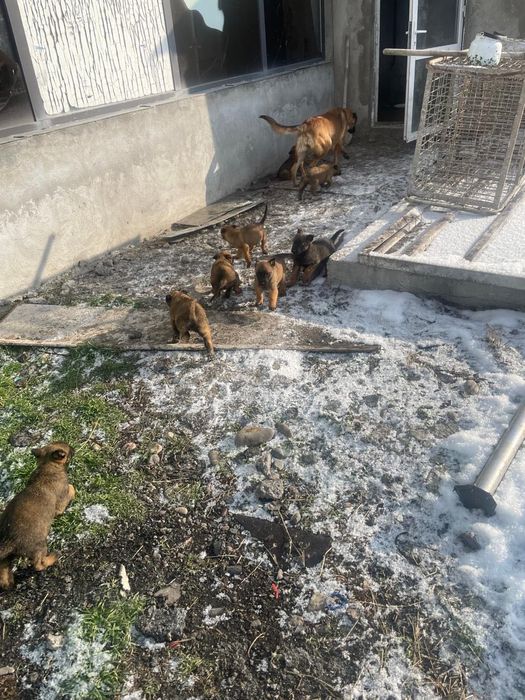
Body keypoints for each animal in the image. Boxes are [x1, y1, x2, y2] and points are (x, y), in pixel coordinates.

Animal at [0, 442, 75, 590]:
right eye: (68, 449)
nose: (74, 448)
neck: (47, 466)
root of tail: (10, 541)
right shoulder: (61, 502)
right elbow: (71, 488)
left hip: (7, 558)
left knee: (4, 569)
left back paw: (9, 583)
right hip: (40, 546)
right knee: (38, 565)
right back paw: (53, 557)